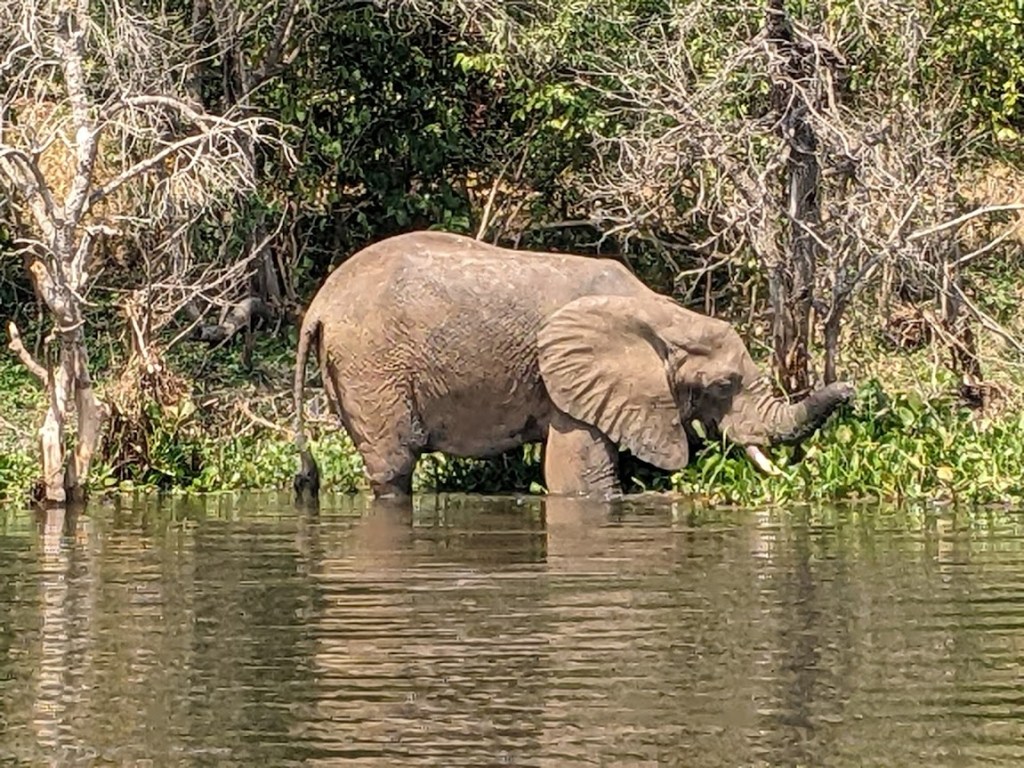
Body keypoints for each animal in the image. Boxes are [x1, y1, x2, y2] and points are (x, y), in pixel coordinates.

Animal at [292, 231, 854, 499]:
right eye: (722, 384)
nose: (851, 390)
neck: (658, 311)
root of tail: (319, 307)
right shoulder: (569, 386)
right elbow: (578, 481)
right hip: (370, 366)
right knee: (393, 468)